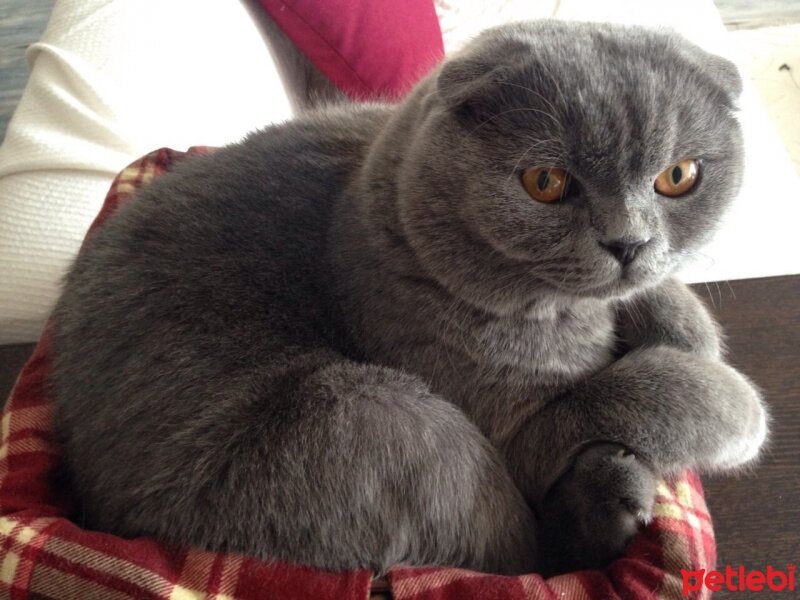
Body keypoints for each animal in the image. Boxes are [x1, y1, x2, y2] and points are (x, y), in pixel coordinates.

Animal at [51, 22, 768, 576]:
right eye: (545, 182)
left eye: (678, 176)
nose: (628, 242)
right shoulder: (517, 427)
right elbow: (620, 396)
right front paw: (734, 405)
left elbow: (662, 311)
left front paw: (684, 326)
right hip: (388, 422)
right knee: (526, 555)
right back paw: (612, 500)